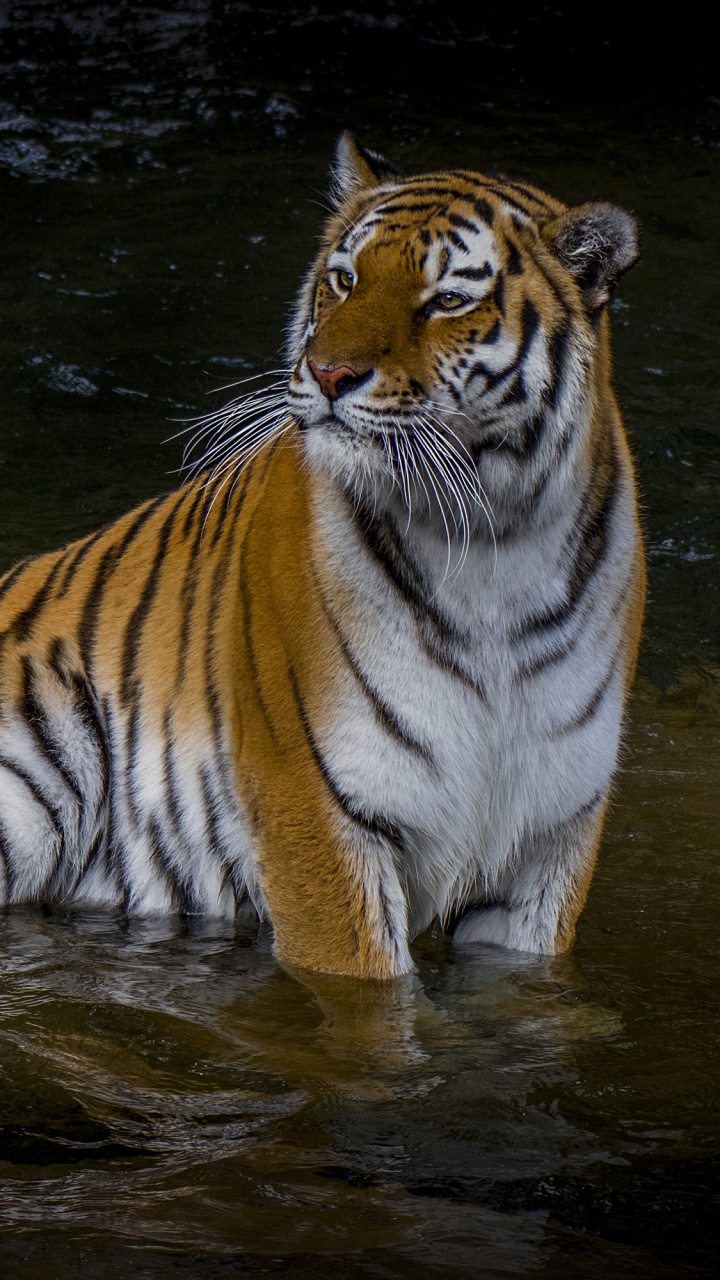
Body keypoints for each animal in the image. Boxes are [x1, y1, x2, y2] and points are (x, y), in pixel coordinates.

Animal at [0, 133, 645, 979]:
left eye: (448, 301)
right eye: (345, 279)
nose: (331, 374)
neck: (492, 544)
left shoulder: (548, 840)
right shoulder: (318, 810)